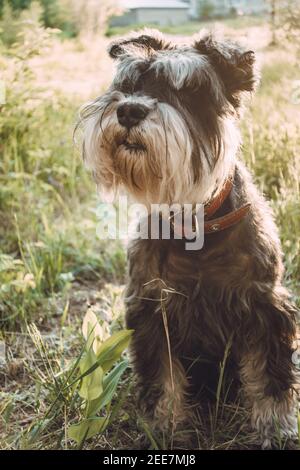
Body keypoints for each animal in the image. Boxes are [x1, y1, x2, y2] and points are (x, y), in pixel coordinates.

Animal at [78, 29, 298, 448]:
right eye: (127, 84)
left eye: (188, 90)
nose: (128, 111)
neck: (196, 224)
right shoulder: (151, 309)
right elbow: (162, 377)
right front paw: (164, 430)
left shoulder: (265, 305)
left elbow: (270, 375)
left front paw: (276, 428)